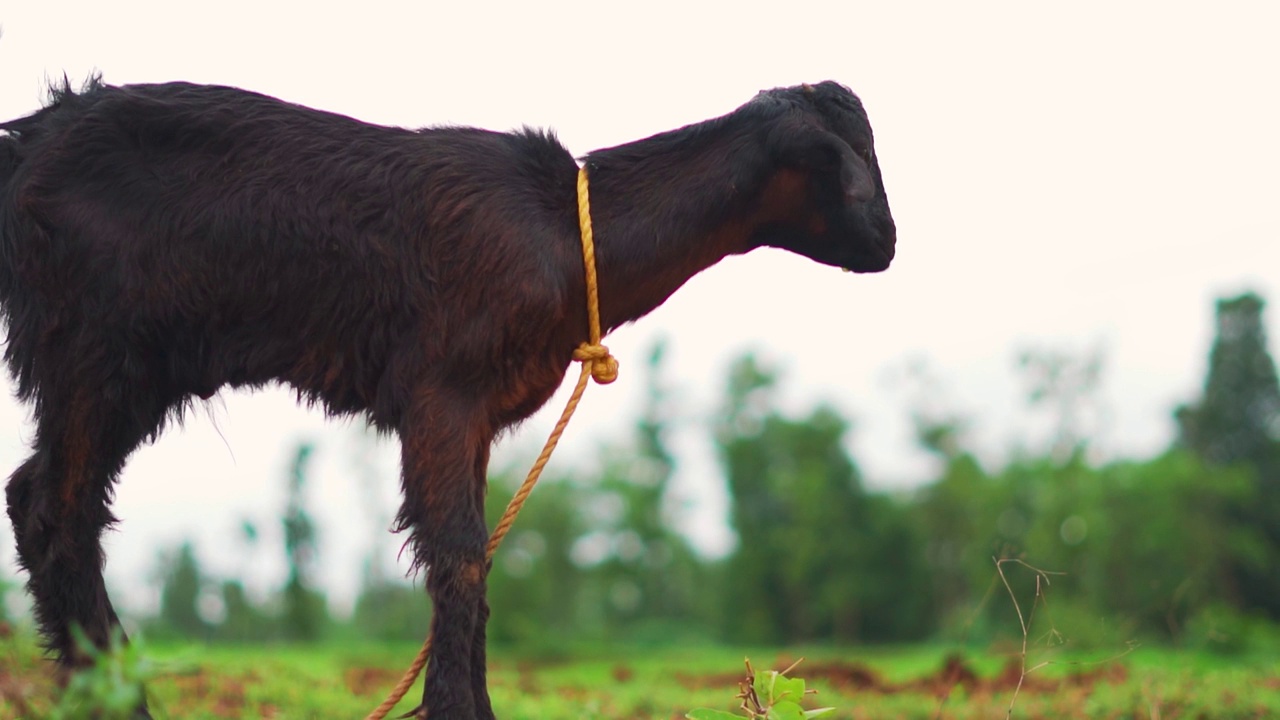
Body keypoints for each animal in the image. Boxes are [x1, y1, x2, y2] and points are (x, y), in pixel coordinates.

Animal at [0, 75, 896, 712]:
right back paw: (118, 699)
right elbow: (459, 551)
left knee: (37, 498)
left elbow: (477, 555)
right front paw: (457, 711)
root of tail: (29, 138)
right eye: (850, 161)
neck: (565, 232)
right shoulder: (442, 389)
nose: (888, 244)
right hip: (95, 350)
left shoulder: (480, 416)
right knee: (56, 512)